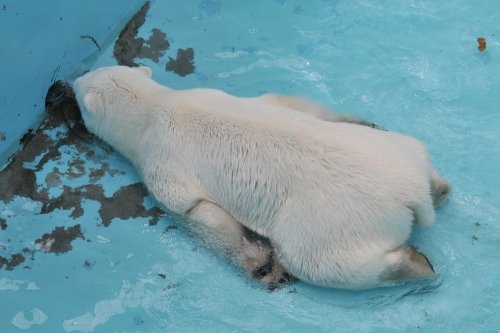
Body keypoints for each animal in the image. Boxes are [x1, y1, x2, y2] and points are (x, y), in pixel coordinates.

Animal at [73, 66, 450, 290]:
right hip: (401, 150)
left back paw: (415, 265)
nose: (68, 82)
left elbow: (200, 216)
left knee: (321, 262)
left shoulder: (162, 168)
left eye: (79, 89)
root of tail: (410, 195)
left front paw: (263, 267)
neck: (154, 108)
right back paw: (439, 187)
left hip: (330, 223)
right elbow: (284, 102)